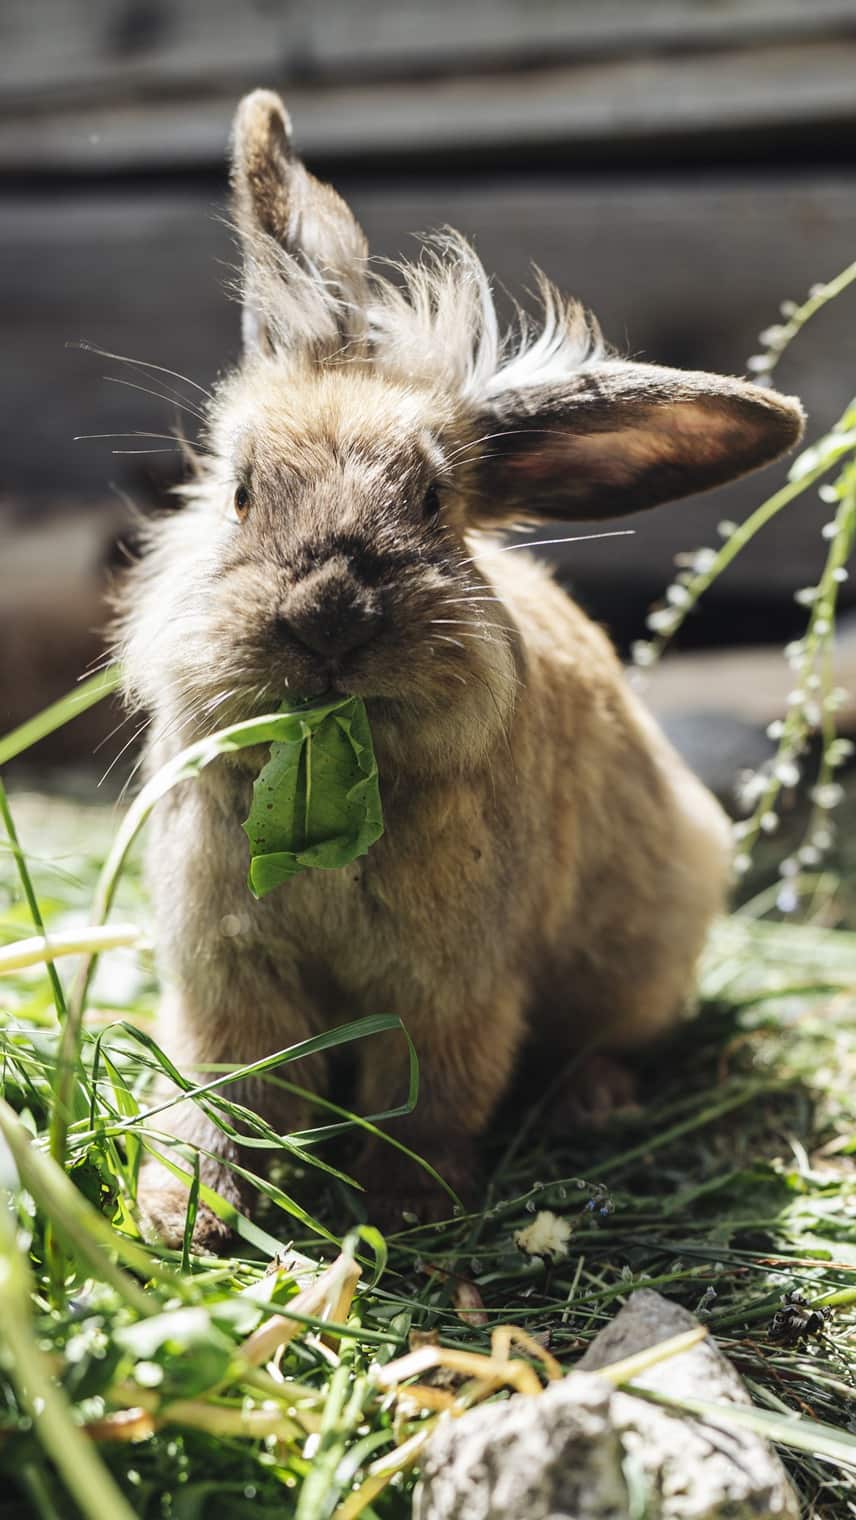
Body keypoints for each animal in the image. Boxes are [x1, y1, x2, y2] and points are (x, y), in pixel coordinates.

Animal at [118, 89, 805, 1249]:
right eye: (243, 491)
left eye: (435, 501)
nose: (329, 614)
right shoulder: (229, 977)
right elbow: (231, 1091)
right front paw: (186, 1211)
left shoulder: (457, 985)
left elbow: (433, 1092)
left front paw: (407, 1205)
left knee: (604, 1039)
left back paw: (593, 1102)